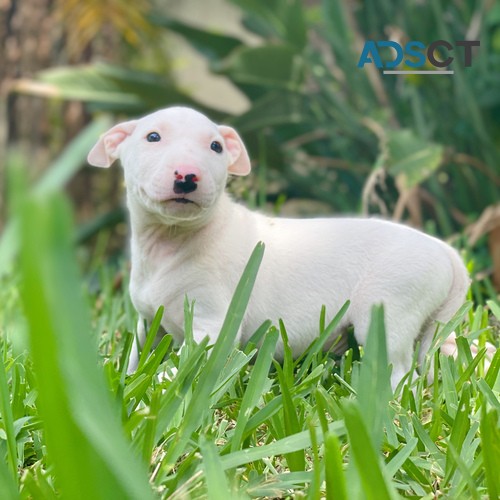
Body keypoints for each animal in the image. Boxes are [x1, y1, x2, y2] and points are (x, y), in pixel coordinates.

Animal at [88, 105, 470, 386]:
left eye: (216, 146)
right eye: (152, 137)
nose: (188, 175)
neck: (173, 239)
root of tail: (446, 252)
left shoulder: (212, 320)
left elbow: (183, 365)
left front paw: (150, 388)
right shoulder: (147, 321)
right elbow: (139, 352)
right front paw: (124, 377)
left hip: (390, 309)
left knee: (401, 372)